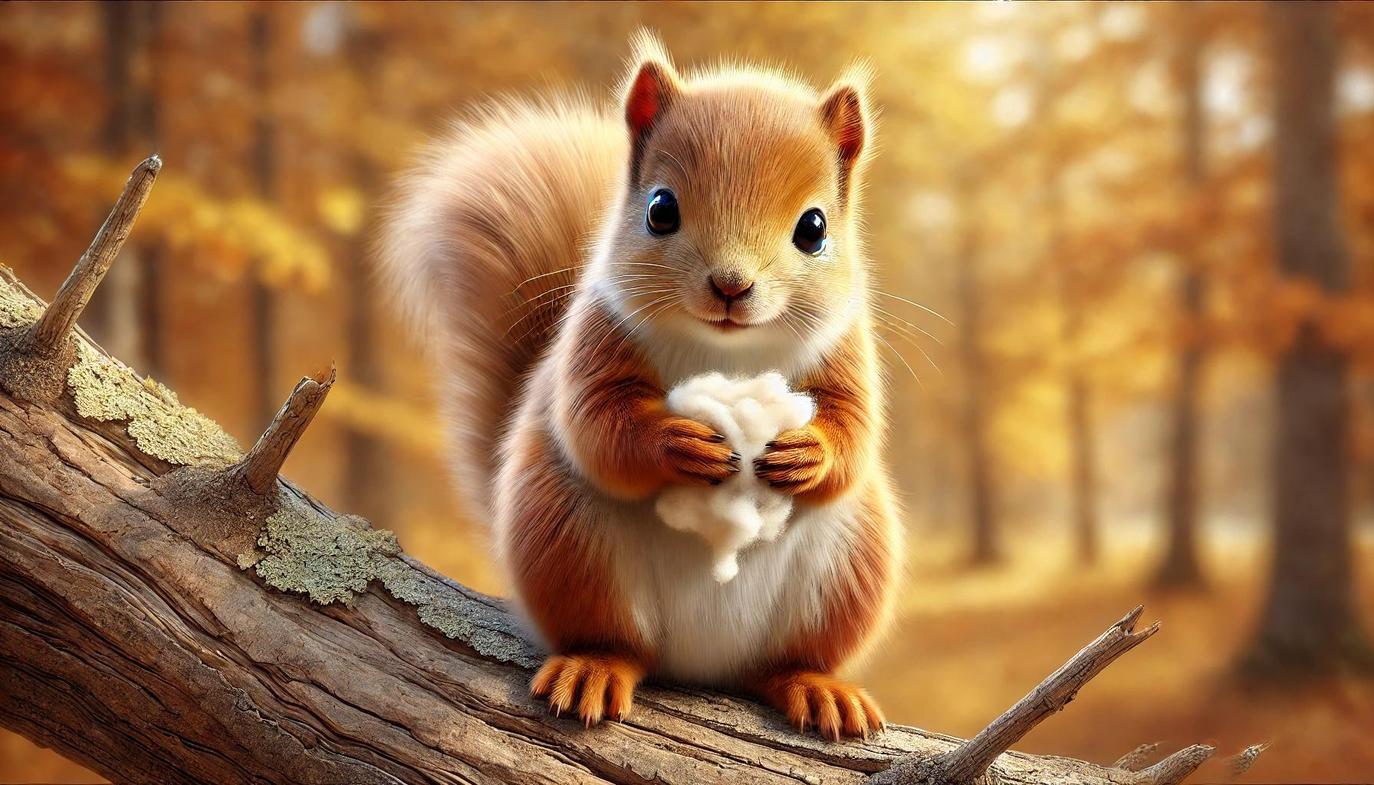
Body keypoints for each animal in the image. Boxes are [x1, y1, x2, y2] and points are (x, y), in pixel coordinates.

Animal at [380, 33, 901, 740]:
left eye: (814, 228)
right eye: (660, 210)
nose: (731, 286)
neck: (727, 353)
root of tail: (704, 665)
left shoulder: (848, 349)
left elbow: (855, 429)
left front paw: (807, 453)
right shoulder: (595, 335)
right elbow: (596, 424)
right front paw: (677, 444)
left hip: (849, 570)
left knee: (784, 662)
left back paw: (816, 686)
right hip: (568, 543)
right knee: (620, 644)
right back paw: (595, 668)